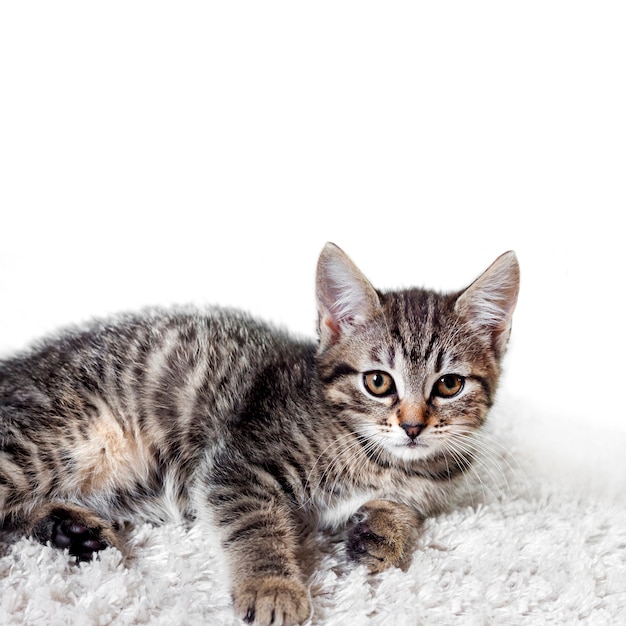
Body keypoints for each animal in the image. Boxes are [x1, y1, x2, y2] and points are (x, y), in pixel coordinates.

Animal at [0, 243, 516, 624]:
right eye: (378, 382)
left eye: (449, 385)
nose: (412, 426)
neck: (379, 457)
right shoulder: (237, 461)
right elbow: (255, 525)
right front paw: (273, 587)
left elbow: (406, 510)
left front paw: (383, 534)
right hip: (62, 437)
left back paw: (69, 528)